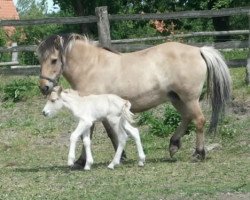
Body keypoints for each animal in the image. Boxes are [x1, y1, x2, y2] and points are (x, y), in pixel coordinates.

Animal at [38, 33, 231, 168]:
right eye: (40, 60)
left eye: (54, 60)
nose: (44, 87)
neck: (91, 66)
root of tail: (198, 50)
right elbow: (110, 133)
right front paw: (121, 155)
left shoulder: (91, 110)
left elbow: (90, 134)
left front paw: (81, 161)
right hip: (177, 98)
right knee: (187, 118)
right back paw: (174, 145)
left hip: (189, 98)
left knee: (199, 120)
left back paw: (198, 153)